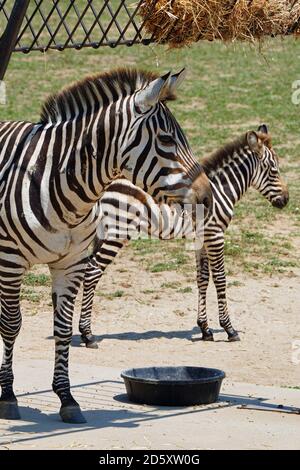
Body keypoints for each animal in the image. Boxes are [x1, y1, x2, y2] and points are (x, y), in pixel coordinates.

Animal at [0, 66, 212, 422]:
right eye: (167, 140)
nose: (208, 196)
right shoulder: (11, 261)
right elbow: (11, 325)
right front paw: (8, 396)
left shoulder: (71, 263)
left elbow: (62, 329)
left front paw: (67, 398)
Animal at [78, 123, 290, 346]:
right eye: (274, 170)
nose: (286, 200)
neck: (220, 189)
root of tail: (103, 187)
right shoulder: (215, 234)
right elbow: (220, 278)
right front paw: (229, 329)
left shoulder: (202, 238)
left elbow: (203, 278)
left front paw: (205, 329)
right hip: (117, 233)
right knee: (93, 271)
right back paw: (88, 334)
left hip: (104, 233)